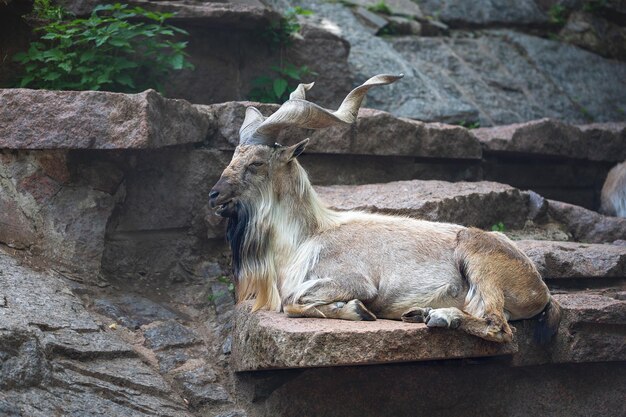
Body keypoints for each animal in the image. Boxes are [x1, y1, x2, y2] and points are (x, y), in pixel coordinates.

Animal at [211, 74, 560, 342]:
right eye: (234, 156)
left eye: (256, 163)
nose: (214, 196)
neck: (306, 237)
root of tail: (540, 288)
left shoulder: (354, 280)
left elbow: (292, 301)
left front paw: (358, 310)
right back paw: (422, 313)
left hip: (480, 262)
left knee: (498, 326)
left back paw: (439, 316)